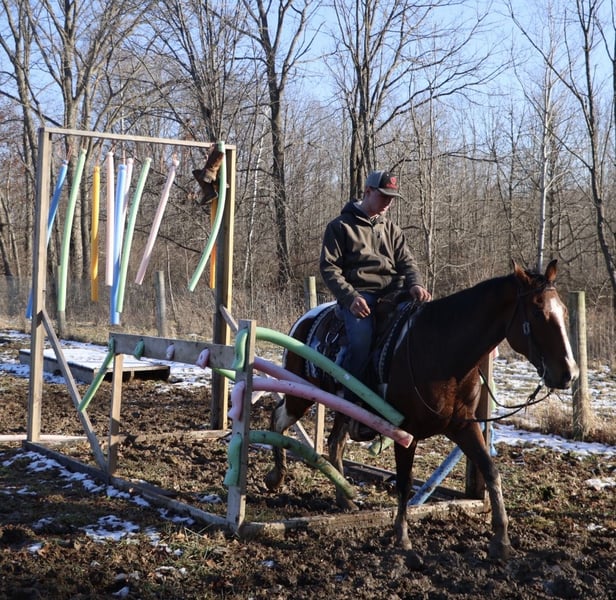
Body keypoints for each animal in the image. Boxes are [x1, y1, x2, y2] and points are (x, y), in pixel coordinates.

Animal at [264, 260, 579, 559]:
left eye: (564, 311)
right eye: (537, 313)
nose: (569, 373)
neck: (442, 351)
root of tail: (306, 319)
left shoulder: (464, 426)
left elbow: (491, 471)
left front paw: (501, 541)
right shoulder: (406, 432)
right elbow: (404, 483)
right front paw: (402, 537)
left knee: (334, 441)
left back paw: (345, 498)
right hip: (301, 395)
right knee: (278, 419)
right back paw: (276, 477)